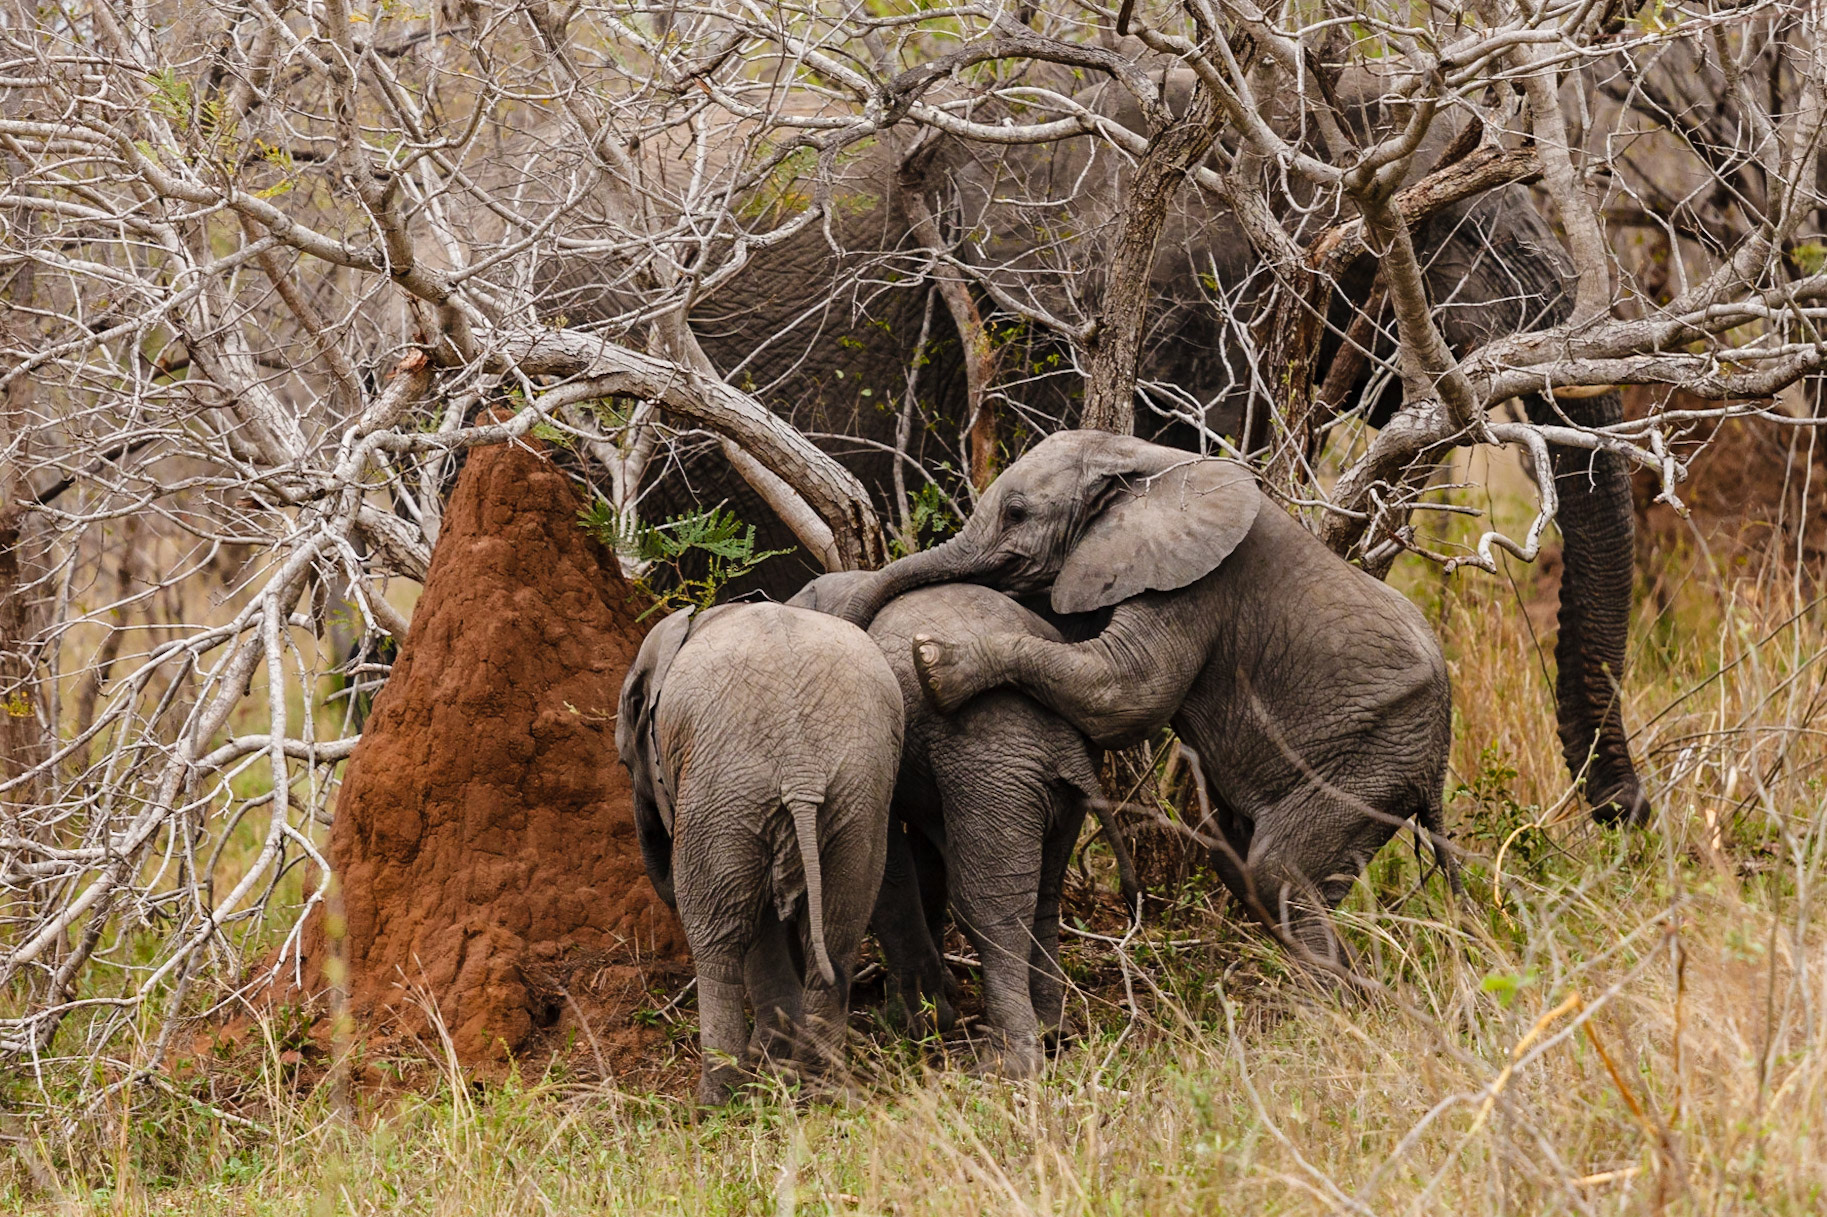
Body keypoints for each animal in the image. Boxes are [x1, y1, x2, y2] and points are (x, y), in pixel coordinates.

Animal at [615, 602, 904, 1103]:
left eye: (624, 761)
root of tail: (802, 768)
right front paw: (778, 1064)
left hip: (725, 792)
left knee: (718, 935)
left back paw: (716, 1100)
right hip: (856, 799)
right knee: (839, 930)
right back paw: (820, 1086)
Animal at [791, 573, 1139, 1075]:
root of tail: (1065, 747)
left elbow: (888, 866)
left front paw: (915, 1023)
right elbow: (924, 866)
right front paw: (934, 1006)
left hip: (991, 772)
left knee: (988, 907)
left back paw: (1008, 1065)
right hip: (1043, 784)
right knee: (1043, 894)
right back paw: (1055, 1034)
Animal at [831, 430, 1462, 967]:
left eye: (1016, 513)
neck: (1138, 457)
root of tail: (1438, 762)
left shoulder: (1192, 585)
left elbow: (1126, 695)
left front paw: (937, 666)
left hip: (1371, 763)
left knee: (1277, 873)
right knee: (1240, 865)